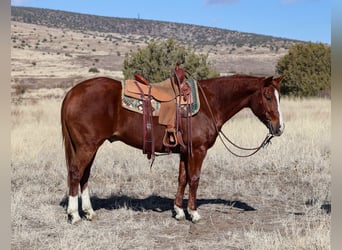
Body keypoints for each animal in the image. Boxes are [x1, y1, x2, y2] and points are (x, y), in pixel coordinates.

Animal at [60, 69, 284, 224]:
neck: (209, 103)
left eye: (279, 97)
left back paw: (89, 212)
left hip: (89, 147)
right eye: (268, 96)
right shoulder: (198, 151)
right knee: (76, 173)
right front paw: (193, 213)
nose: (279, 127)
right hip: (86, 147)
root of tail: (72, 92)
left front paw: (178, 211)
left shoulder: (185, 152)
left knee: (84, 176)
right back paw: (74, 215)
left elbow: (182, 179)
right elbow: (194, 179)